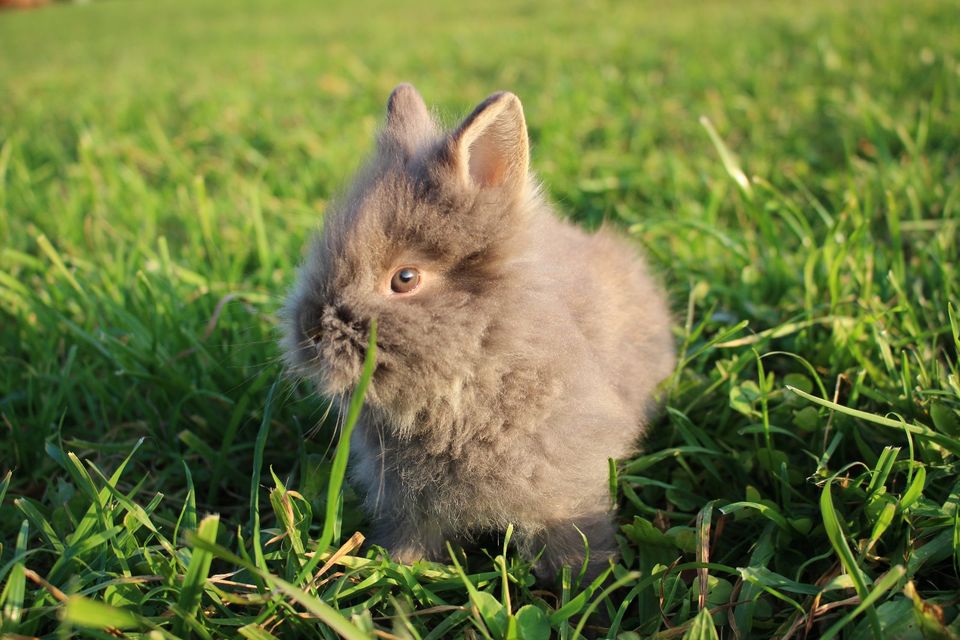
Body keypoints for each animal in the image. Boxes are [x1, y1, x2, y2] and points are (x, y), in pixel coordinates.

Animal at [282, 82, 676, 584]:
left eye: (405, 279)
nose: (309, 331)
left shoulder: (566, 488)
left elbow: (573, 539)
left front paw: (586, 582)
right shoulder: (409, 506)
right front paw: (396, 565)